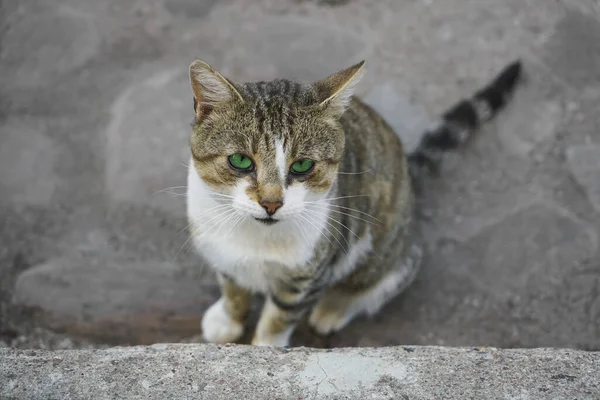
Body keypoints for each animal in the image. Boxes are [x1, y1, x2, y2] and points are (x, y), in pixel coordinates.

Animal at [185, 57, 524, 346]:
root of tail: (408, 172)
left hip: (388, 252)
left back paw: (333, 309)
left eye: (303, 165)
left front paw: (266, 346)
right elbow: (233, 290)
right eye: (240, 160)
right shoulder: (219, 250)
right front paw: (227, 320)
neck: (254, 236)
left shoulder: (309, 275)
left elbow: (278, 319)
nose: (271, 203)